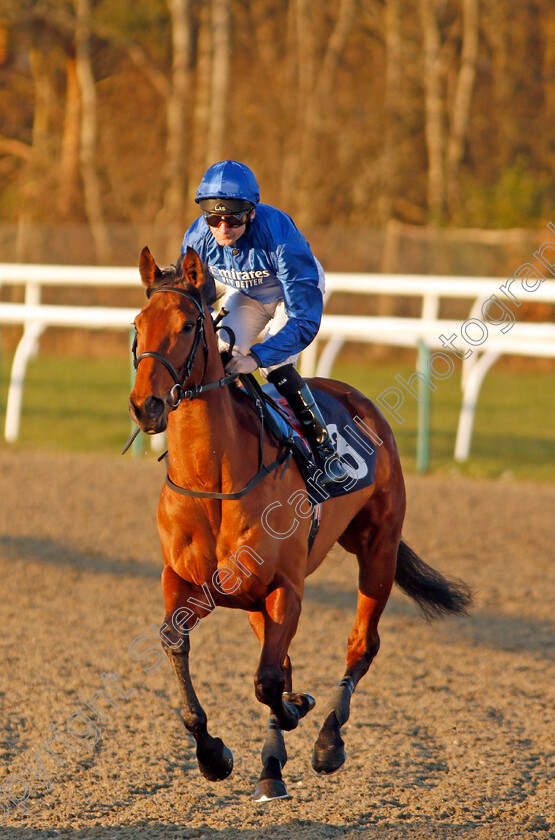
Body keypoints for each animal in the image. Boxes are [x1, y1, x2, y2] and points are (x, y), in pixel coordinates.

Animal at [128, 244, 472, 800]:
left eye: (187, 325)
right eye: (138, 324)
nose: (147, 406)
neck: (213, 480)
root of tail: (358, 400)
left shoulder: (285, 587)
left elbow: (268, 680)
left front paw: (295, 716)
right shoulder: (187, 582)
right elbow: (178, 644)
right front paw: (213, 754)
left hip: (378, 547)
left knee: (361, 644)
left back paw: (327, 742)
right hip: (254, 598)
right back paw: (273, 763)